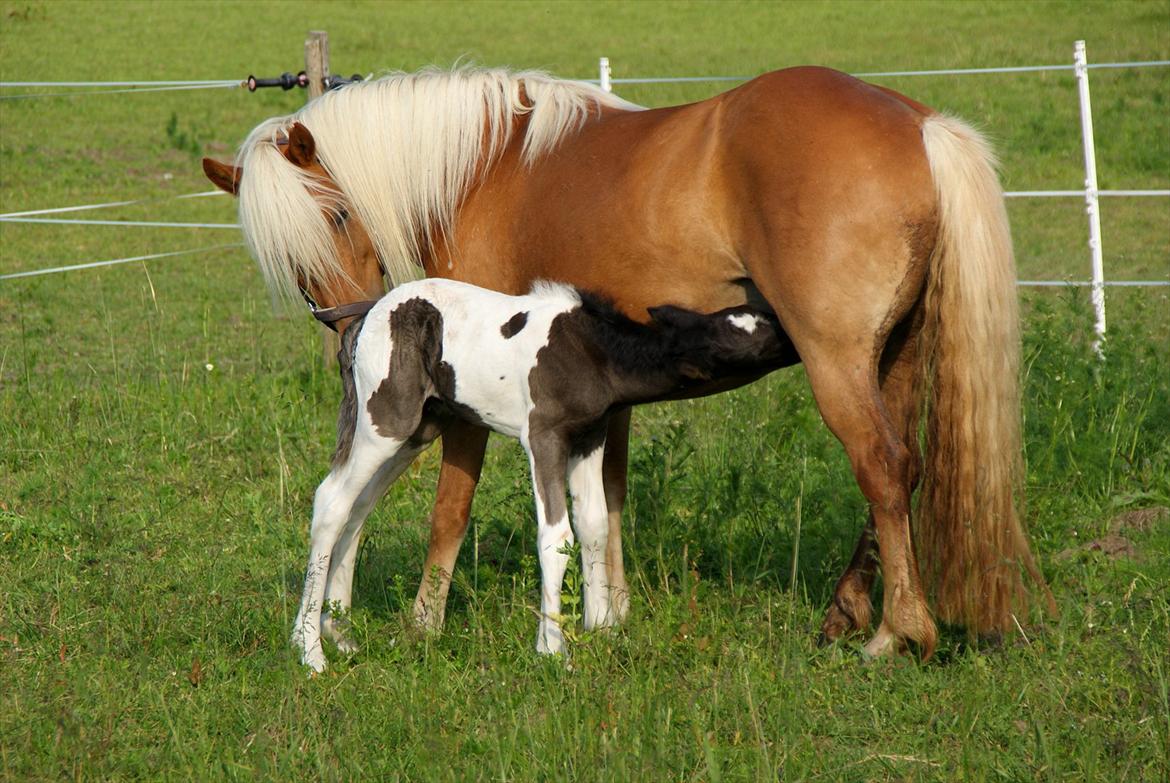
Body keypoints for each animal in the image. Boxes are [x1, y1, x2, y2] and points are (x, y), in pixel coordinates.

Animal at [292, 277, 790, 669]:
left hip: (419, 428)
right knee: (332, 502)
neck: (592, 353)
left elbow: (592, 527)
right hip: (386, 421)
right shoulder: (544, 437)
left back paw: (338, 632)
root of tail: (367, 315)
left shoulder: (588, 437)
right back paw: (310, 651)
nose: (793, 332)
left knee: (357, 510)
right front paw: (553, 650)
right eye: (753, 334)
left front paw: (600, 630)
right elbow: (557, 536)